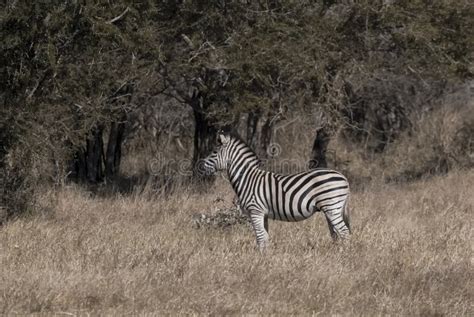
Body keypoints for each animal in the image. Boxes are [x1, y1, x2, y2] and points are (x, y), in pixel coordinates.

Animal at [201, 130, 352, 247]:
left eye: (214, 152)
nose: (201, 167)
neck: (247, 178)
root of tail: (343, 177)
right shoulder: (263, 214)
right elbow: (264, 238)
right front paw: (264, 259)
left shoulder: (255, 211)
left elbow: (260, 238)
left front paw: (260, 261)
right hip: (331, 209)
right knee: (336, 233)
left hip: (331, 206)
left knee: (344, 233)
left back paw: (343, 257)